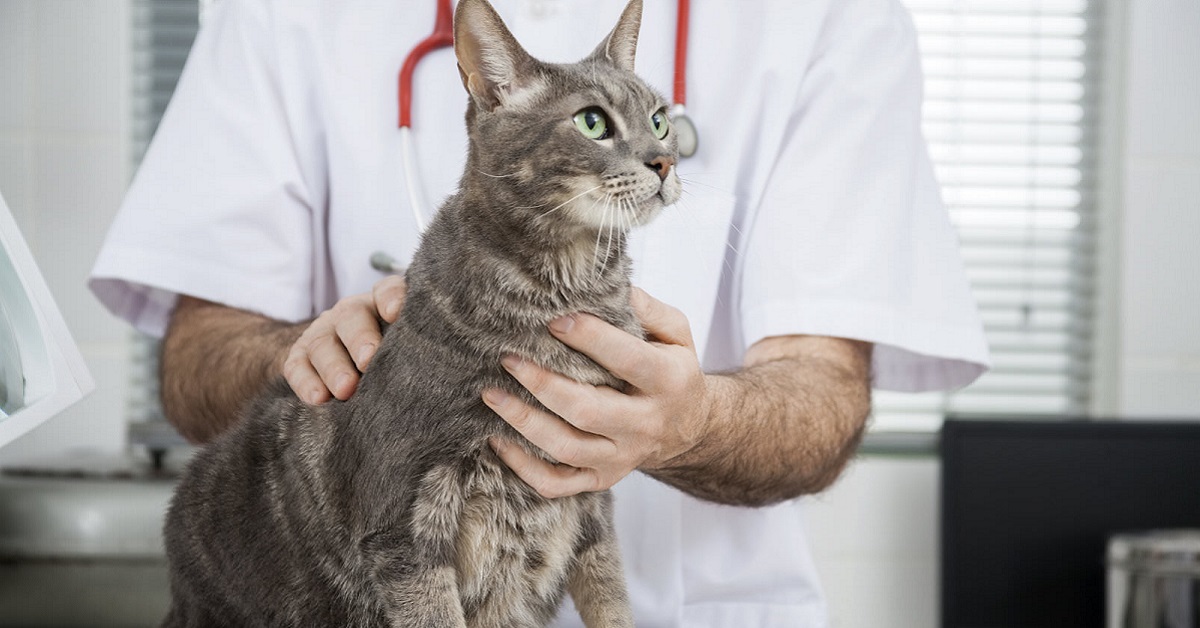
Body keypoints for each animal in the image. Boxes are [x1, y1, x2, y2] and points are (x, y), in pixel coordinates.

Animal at [163, 0, 681, 624]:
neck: (570, 289)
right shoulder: (405, 528)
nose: (665, 161)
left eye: (659, 120)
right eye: (592, 123)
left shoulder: (589, 501)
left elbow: (612, 603)